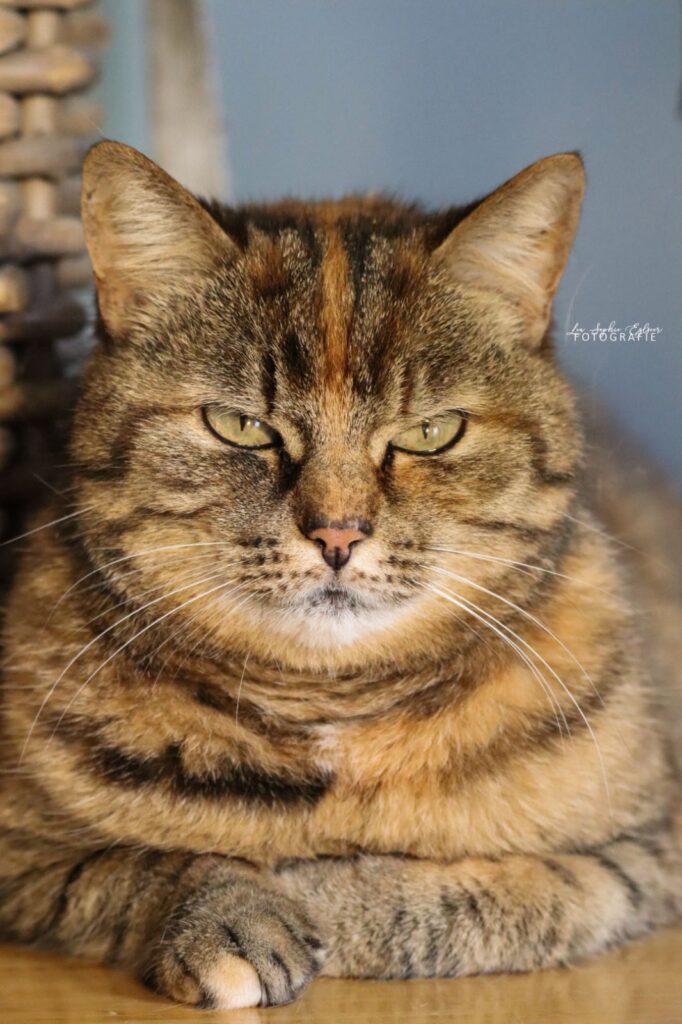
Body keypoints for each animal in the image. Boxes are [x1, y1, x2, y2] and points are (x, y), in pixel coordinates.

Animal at [0, 141, 679, 1010]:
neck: (330, 710)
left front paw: (313, 889)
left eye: (431, 432)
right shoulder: (17, 858)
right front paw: (232, 906)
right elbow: (131, 862)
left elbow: (457, 894)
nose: (337, 534)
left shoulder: (636, 858)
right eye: (240, 425)